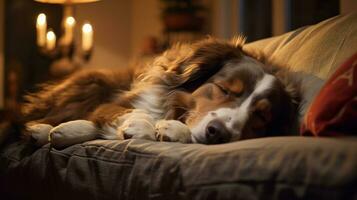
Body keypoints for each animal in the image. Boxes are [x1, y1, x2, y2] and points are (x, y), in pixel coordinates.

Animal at [22, 36, 298, 148]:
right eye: (224, 89)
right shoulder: (112, 103)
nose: (217, 132)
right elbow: (127, 113)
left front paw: (172, 130)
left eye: (261, 117)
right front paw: (142, 126)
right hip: (93, 82)